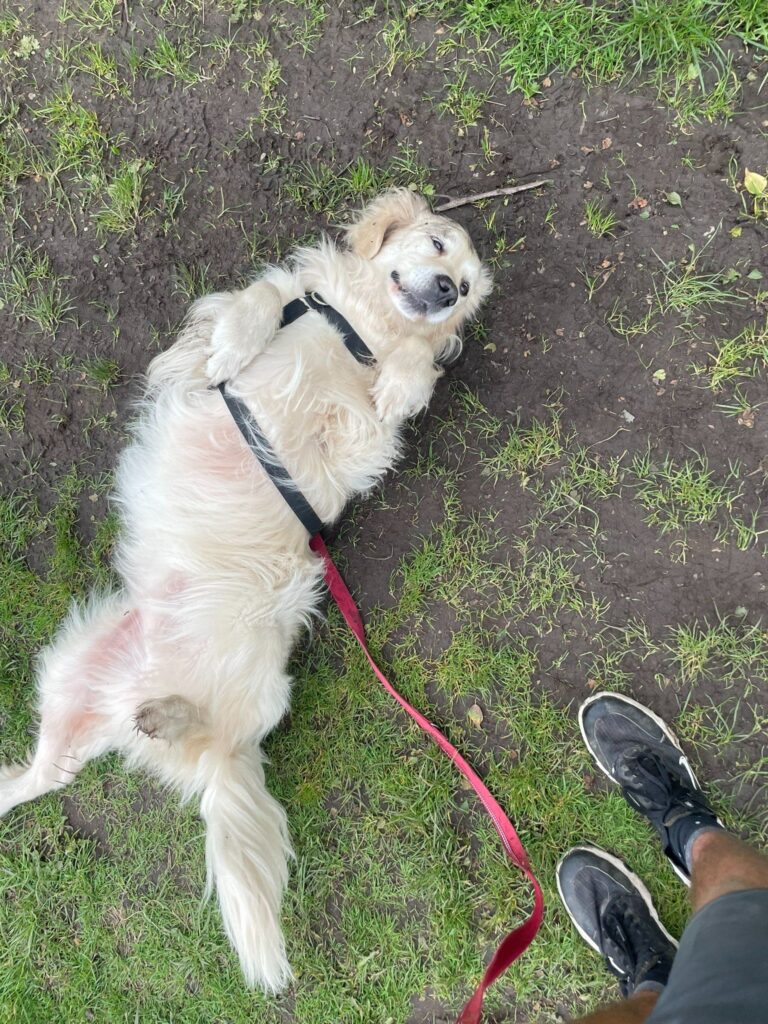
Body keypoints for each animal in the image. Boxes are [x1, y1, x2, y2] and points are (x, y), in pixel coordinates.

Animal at [0, 188, 493, 987]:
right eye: (440, 245)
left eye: (472, 288)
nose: (450, 290)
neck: (357, 325)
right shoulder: (194, 356)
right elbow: (253, 303)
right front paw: (238, 343)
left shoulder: (359, 446)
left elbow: (408, 378)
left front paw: (407, 373)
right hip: (69, 670)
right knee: (45, 774)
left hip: (258, 690)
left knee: (186, 739)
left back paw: (166, 715)